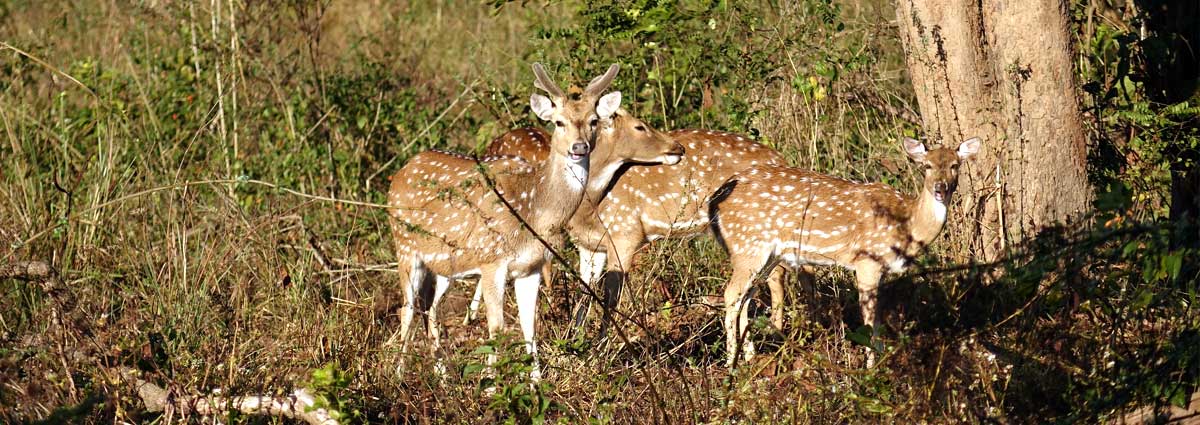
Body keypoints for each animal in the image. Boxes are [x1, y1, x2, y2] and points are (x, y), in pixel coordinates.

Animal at [388, 63, 624, 379]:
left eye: (593, 120)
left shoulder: (531, 267)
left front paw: (537, 383)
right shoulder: (491, 261)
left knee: (431, 309)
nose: (579, 147)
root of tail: (400, 172)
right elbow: (497, 329)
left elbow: (529, 328)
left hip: (443, 266)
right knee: (407, 308)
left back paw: (443, 378)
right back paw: (399, 376)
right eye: (559, 122)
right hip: (405, 248)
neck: (533, 209)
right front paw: (490, 384)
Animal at [710, 136, 974, 367]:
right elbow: (869, 321)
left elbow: (878, 318)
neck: (907, 226)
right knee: (731, 294)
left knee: (746, 298)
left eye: (955, 165)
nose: (940, 188)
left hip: (768, 255)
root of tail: (714, 203)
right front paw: (871, 370)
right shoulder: (867, 260)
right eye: (927, 166)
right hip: (747, 244)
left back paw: (750, 357)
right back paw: (732, 364)